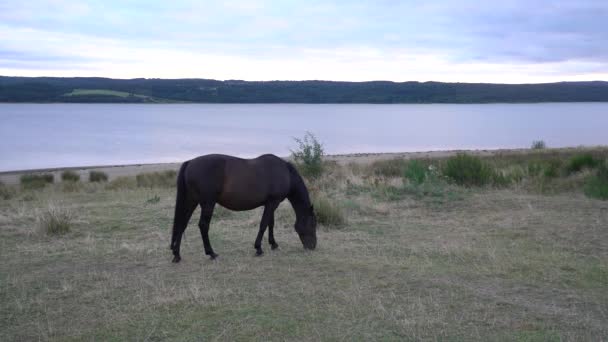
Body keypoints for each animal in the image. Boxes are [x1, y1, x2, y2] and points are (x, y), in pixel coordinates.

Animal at [169, 154, 316, 264]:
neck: (285, 173)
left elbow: (270, 224)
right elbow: (264, 224)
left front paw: (273, 244)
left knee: (182, 224)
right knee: (203, 225)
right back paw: (211, 253)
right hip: (208, 203)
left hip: (191, 201)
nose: (313, 247)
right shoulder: (273, 203)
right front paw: (258, 248)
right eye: (313, 224)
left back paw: (177, 255)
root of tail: (190, 163)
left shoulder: (271, 203)